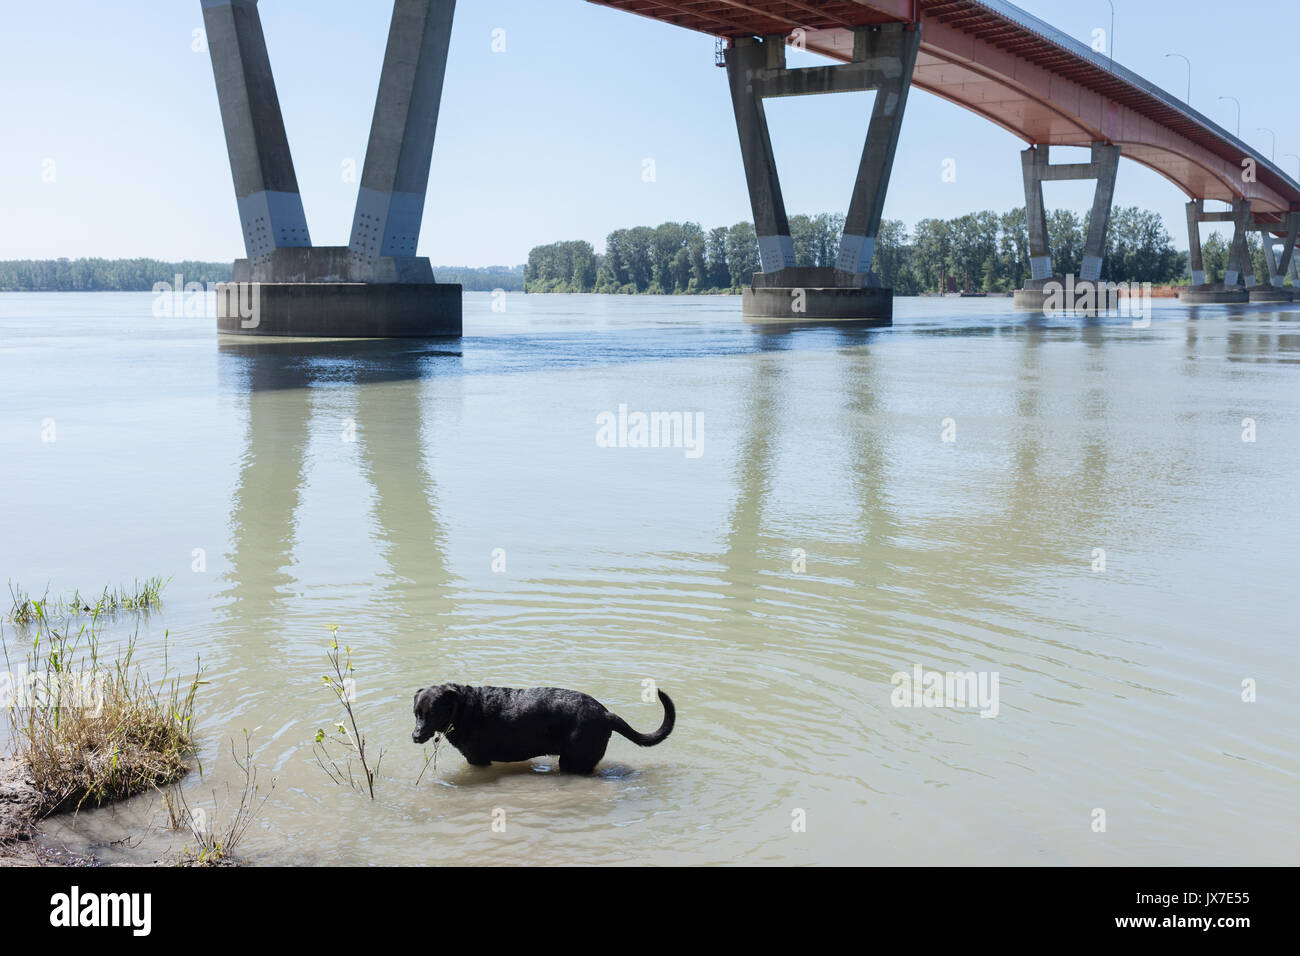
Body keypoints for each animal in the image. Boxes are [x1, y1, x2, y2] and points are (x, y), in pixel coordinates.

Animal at [410, 686, 676, 775]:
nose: (415, 736)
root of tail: (605, 713)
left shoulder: (478, 759)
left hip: (573, 760)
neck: (465, 709)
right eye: (416, 713)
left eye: (432, 713)